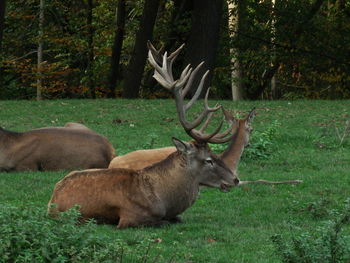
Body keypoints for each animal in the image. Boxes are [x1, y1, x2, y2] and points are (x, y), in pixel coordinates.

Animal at [47, 44, 238, 229]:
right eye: (208, 160)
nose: (235, 179)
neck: (164, 200)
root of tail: (52, 199)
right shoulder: (130, 218)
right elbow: (163, 222)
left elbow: (178, 219)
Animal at [108, 42, 300, 186]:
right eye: (251, 130)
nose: (249, 143)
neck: (230, 163)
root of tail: (111, 163)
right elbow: (260, 180)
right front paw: (296, 180)